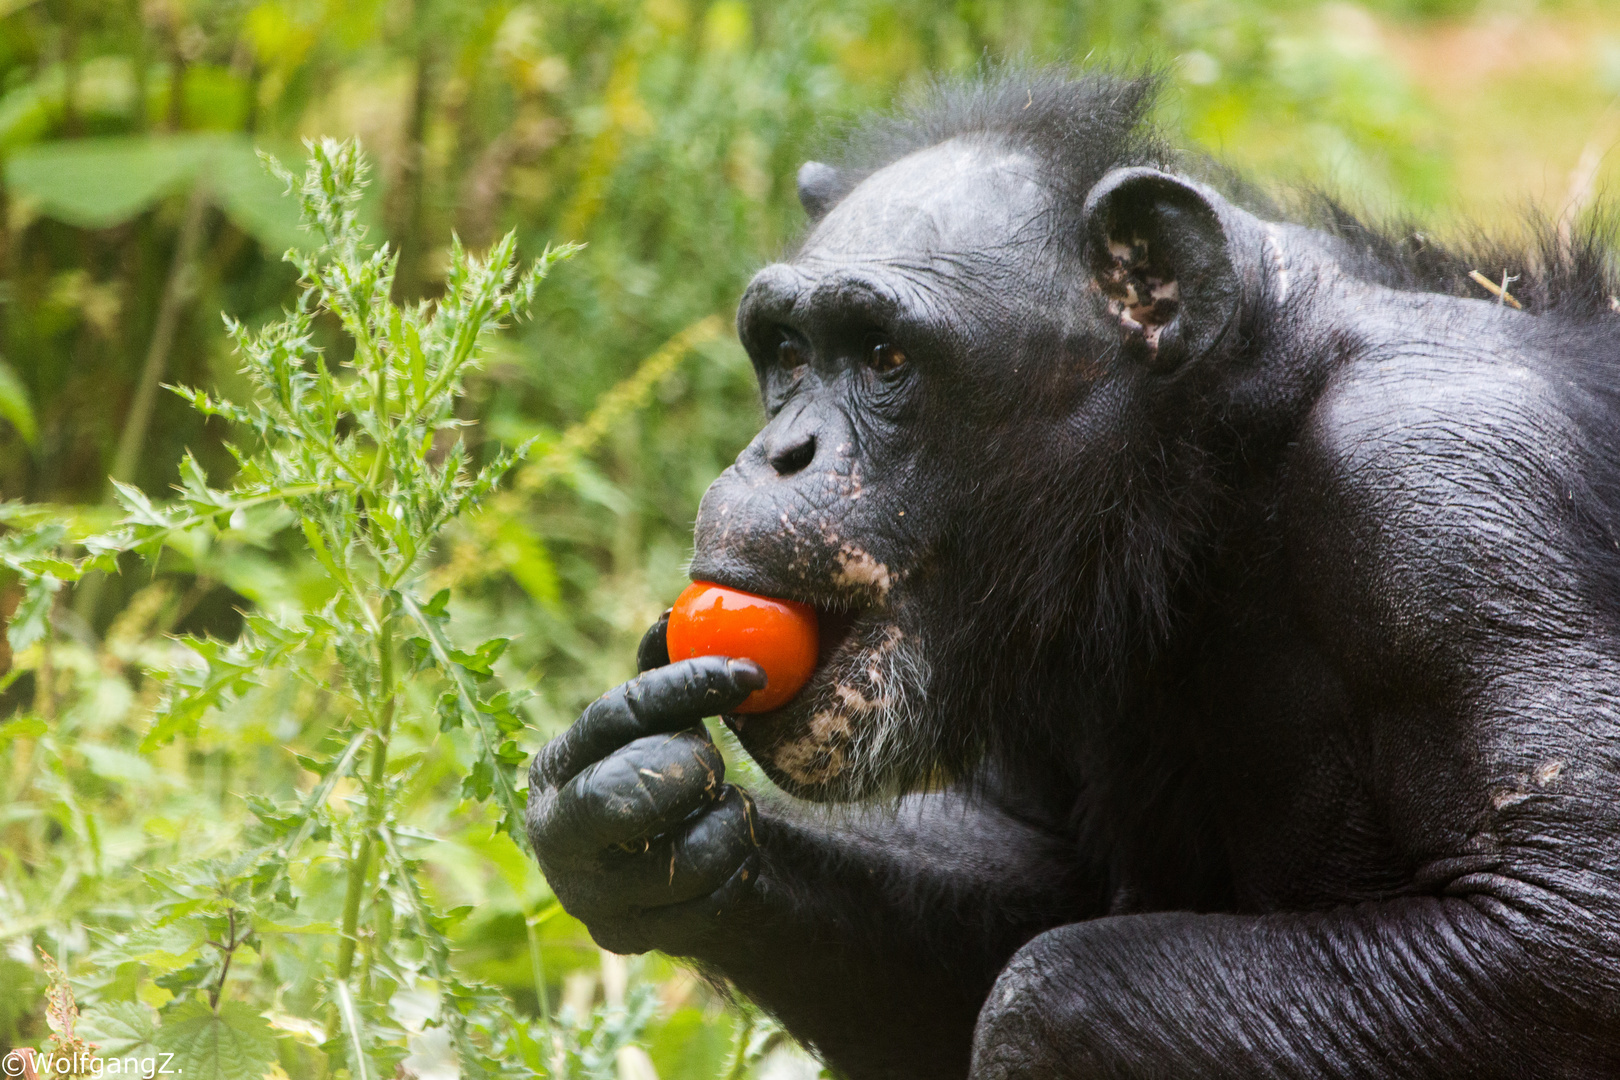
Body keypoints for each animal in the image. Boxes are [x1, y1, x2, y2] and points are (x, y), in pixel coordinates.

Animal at [524, 71, 1620, 1075]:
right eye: (788, 351)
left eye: (884, 355)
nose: (781, 451)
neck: (1216, 447)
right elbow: (1027, 887)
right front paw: (624, 802)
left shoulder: (1448, 494)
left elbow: (1562, 928)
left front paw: (1047, 1015)